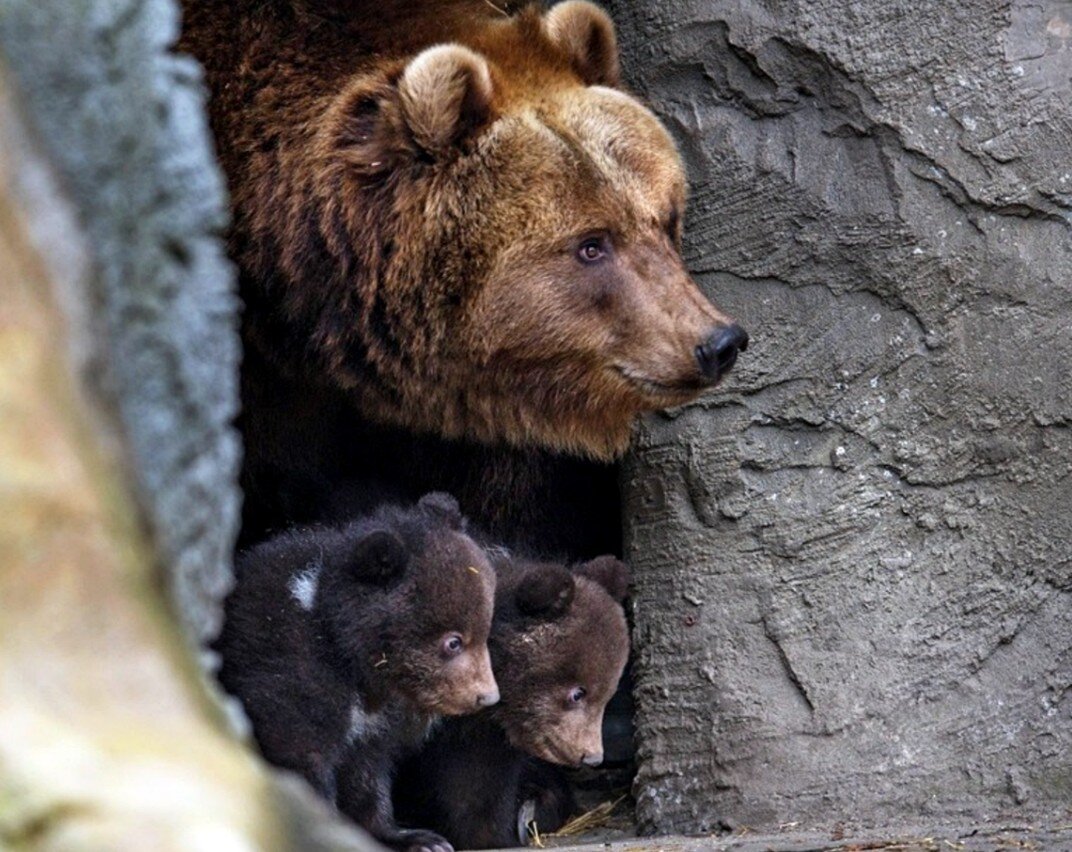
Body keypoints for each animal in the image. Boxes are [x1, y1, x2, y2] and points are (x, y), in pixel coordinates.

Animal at [218, 492, 501, 852]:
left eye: (484, 631)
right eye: (453, 642)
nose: (487, 696)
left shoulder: (375, 721)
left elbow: (367, 772)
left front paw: (419, 838)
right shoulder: (289, 666)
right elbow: (299, 751)